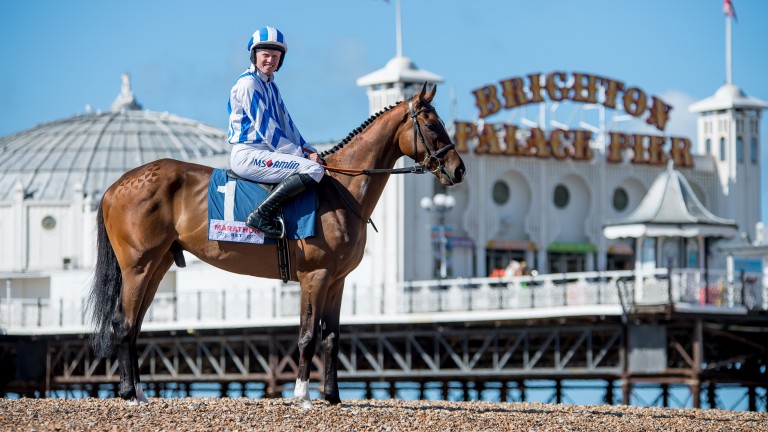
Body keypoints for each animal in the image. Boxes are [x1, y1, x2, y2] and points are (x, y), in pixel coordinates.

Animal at [86, 84, 465, 408]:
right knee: (123, 322)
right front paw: (303, 396)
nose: (459, 170)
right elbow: (307, 335)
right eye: (432, 125)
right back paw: (130, 395)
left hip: (157, 266)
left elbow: (331, 337)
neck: (340, 191)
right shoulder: (315, 275)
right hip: (138, 267)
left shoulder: (337, 281)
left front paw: (333, 397)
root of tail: (114, 186)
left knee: (135, 325)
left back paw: (139, 392)